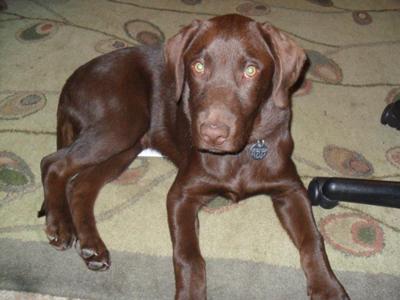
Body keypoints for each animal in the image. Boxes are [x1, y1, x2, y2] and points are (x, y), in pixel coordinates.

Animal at [39, 14, 348, 300]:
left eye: (251, 70)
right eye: (198, 66)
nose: (212, 133)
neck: (245, 149)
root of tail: (71, 80)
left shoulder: (290, 189)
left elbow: (313, 239)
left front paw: (328, 287)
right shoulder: (181, 194)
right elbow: (188, 255)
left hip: (127, 144)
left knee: (81, 185)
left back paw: (92, 247)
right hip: (120, 124)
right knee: (53, 163)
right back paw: (60, 226)